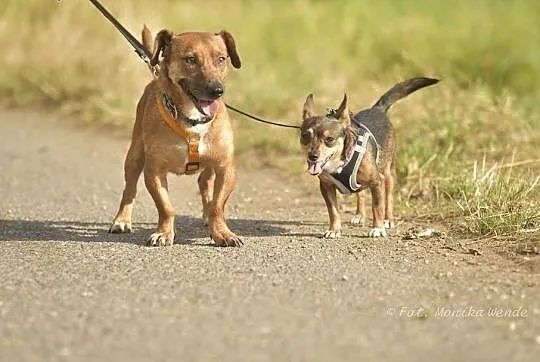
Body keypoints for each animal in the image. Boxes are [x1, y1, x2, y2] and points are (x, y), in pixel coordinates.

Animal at [109, 24, 243, 246]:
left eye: (221, 59)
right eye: (190, 59)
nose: (217, 90)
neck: (193, 120)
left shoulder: (226, 168)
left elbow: (217, 206)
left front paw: (222, 232)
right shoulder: (154, 172)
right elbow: (166, 207)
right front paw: (164, 232)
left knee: (205, 182)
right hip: (135, 156)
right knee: (129, 189)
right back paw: (121, 220)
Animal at [300, 77, 438, 238]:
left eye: (329, 139)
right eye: (305, 136)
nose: (312, 156)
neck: (340, 163)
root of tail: (377, 109)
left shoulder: (376, 182)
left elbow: (377, 206)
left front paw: (377, 228)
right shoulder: (326, 186)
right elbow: (333, 211)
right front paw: (334, 230)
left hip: (388, 173)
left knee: (388, 198)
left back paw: (388, 220)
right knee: (361, 193)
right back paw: (360, 215)